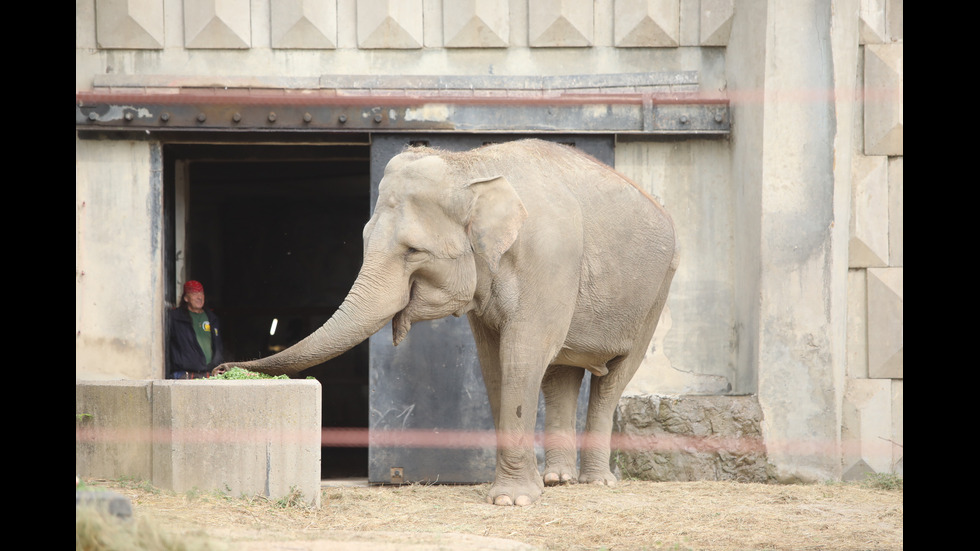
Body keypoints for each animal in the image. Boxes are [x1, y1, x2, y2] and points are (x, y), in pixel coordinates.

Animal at [212, 139, 680, 508]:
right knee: (561, 376)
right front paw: (520, 492)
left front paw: (512, 500)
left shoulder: (550, 260)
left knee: (612, 380)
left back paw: (596, 483)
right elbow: (494, 365)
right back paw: (558, 480)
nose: (220, 368)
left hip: (656, 293)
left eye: (414, 250)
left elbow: (522, 355)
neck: (470, 166)